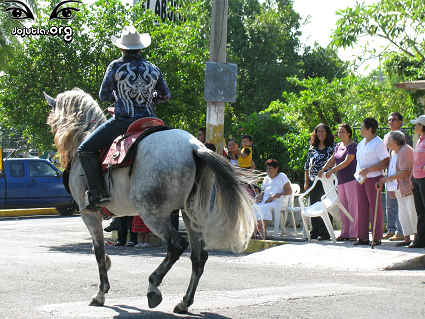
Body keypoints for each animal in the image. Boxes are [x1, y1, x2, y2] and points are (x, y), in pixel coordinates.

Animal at [45, 89, 255, 314]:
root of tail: (194, 147)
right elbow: (99, 251)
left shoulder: (89, 214)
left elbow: (98, 252)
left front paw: (101, 292)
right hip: (191, 213)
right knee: (198, 257)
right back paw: (184, 302)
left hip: (152, 214)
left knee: (176, 245)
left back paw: (153, 287)